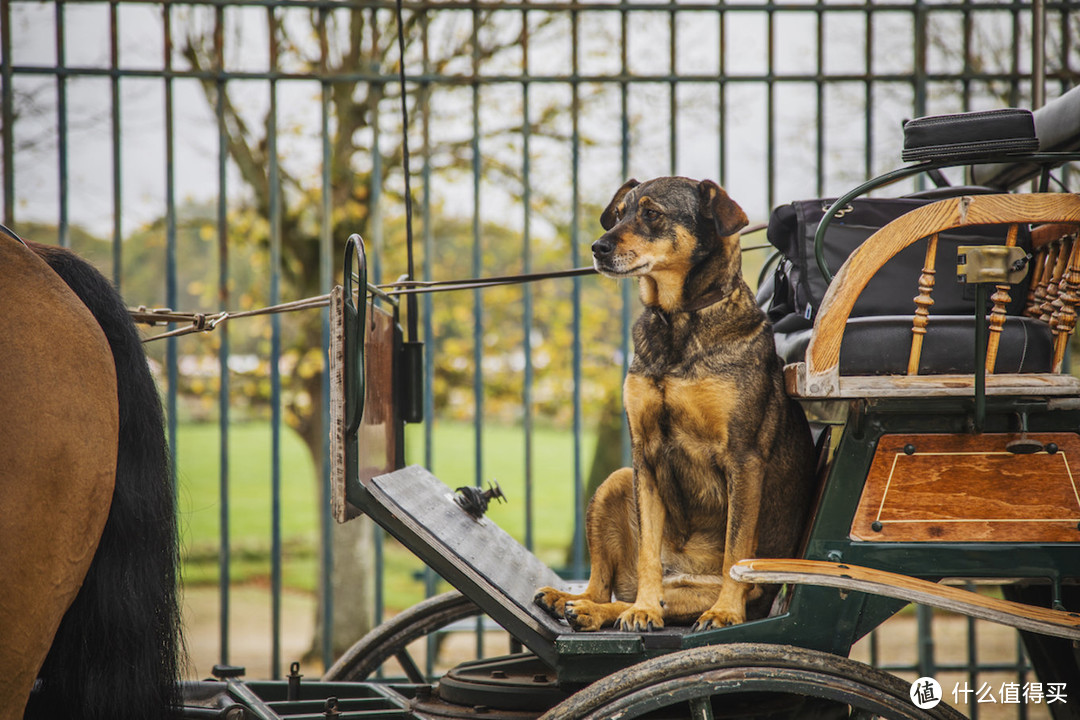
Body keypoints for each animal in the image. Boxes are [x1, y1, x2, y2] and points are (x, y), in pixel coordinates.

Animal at [531, 175, 816, 630]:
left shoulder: (743, 459)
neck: (676, 319)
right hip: (614, 482)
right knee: (608, 586)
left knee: (666, 599)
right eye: (620, 213)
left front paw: (725, 612)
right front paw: (644, 609)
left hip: (711, 585)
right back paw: (581, 603)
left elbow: (736, 549)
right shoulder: (644, 455)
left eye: (652, 213)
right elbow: (649, 551)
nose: (597, 247)